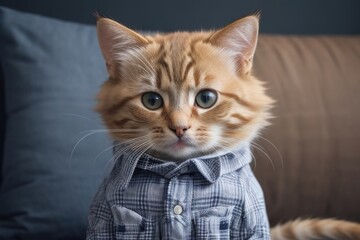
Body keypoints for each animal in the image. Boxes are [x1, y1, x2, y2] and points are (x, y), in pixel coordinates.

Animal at [86, 15, 360, 240]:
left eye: (206, 98)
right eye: (151, 101)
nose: (179, 128)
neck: (180, 169)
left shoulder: (252, 219)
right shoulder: (103, 217)